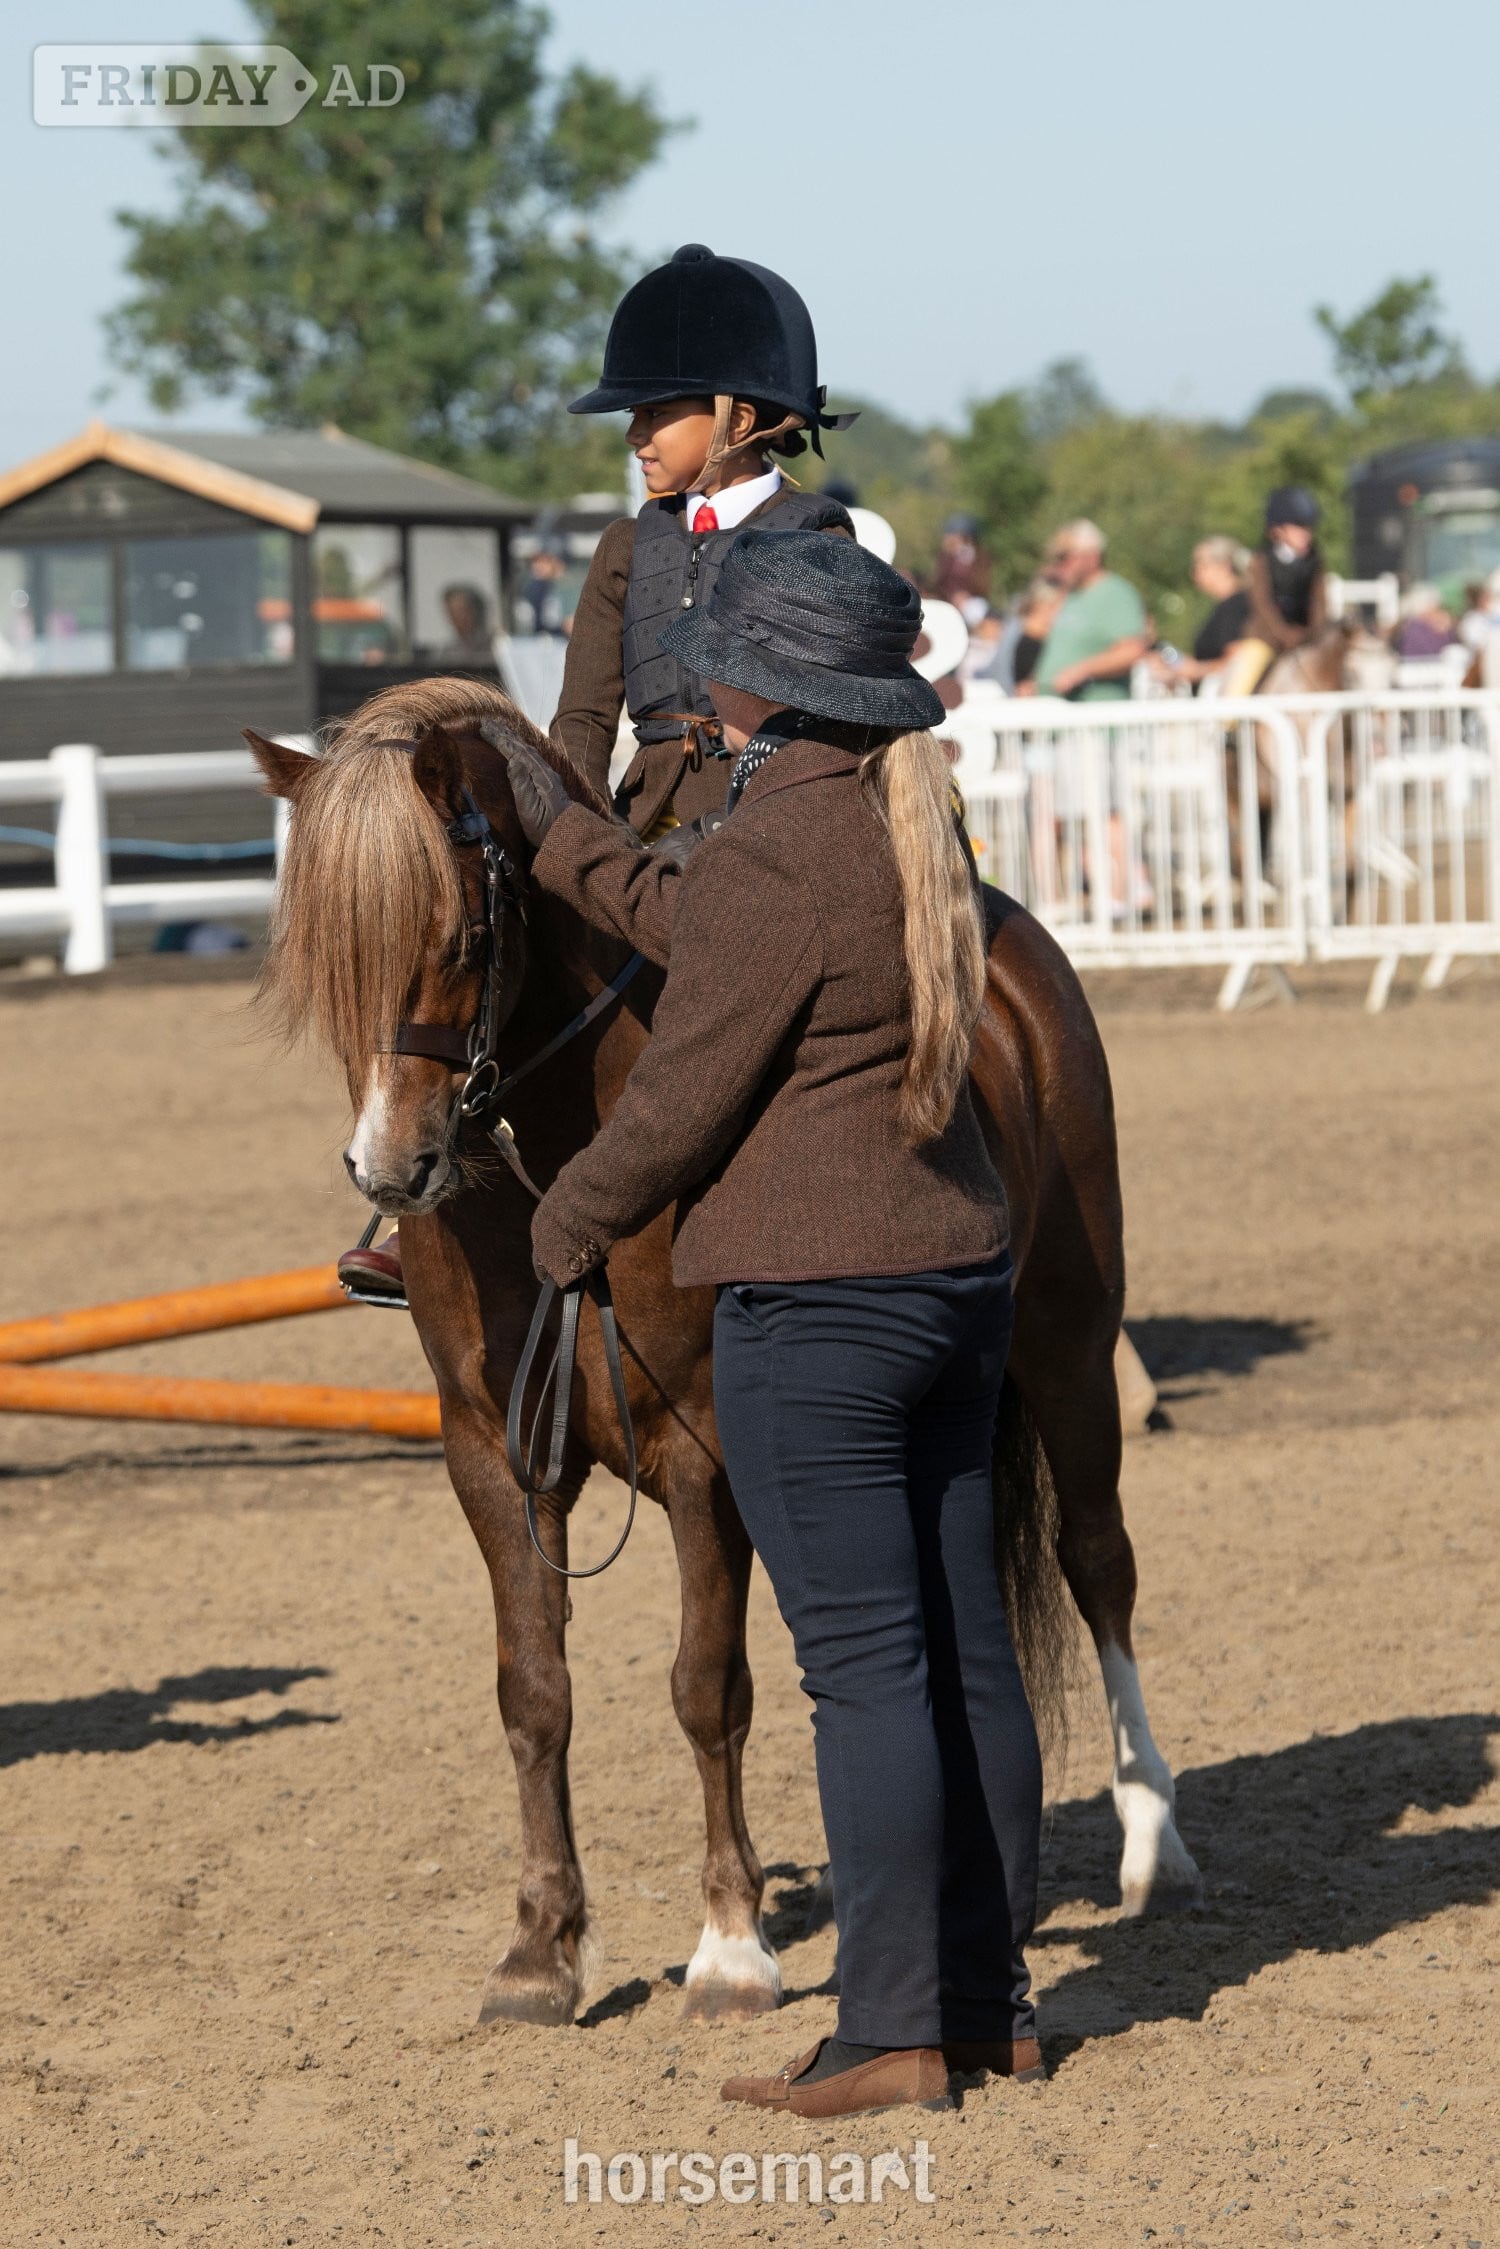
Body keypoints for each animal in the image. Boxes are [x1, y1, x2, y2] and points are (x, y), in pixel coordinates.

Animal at [249, 676, 1201, 2030]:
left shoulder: (703, 1453)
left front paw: (731, 1944)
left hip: (1068, 1345)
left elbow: (706, 1685)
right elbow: (533, 1691)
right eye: (326, 963)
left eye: (459, 936)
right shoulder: (490, 1454)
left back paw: (1152, 1841)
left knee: (1098, 1562)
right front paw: (539, 1949)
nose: (394, 1168)